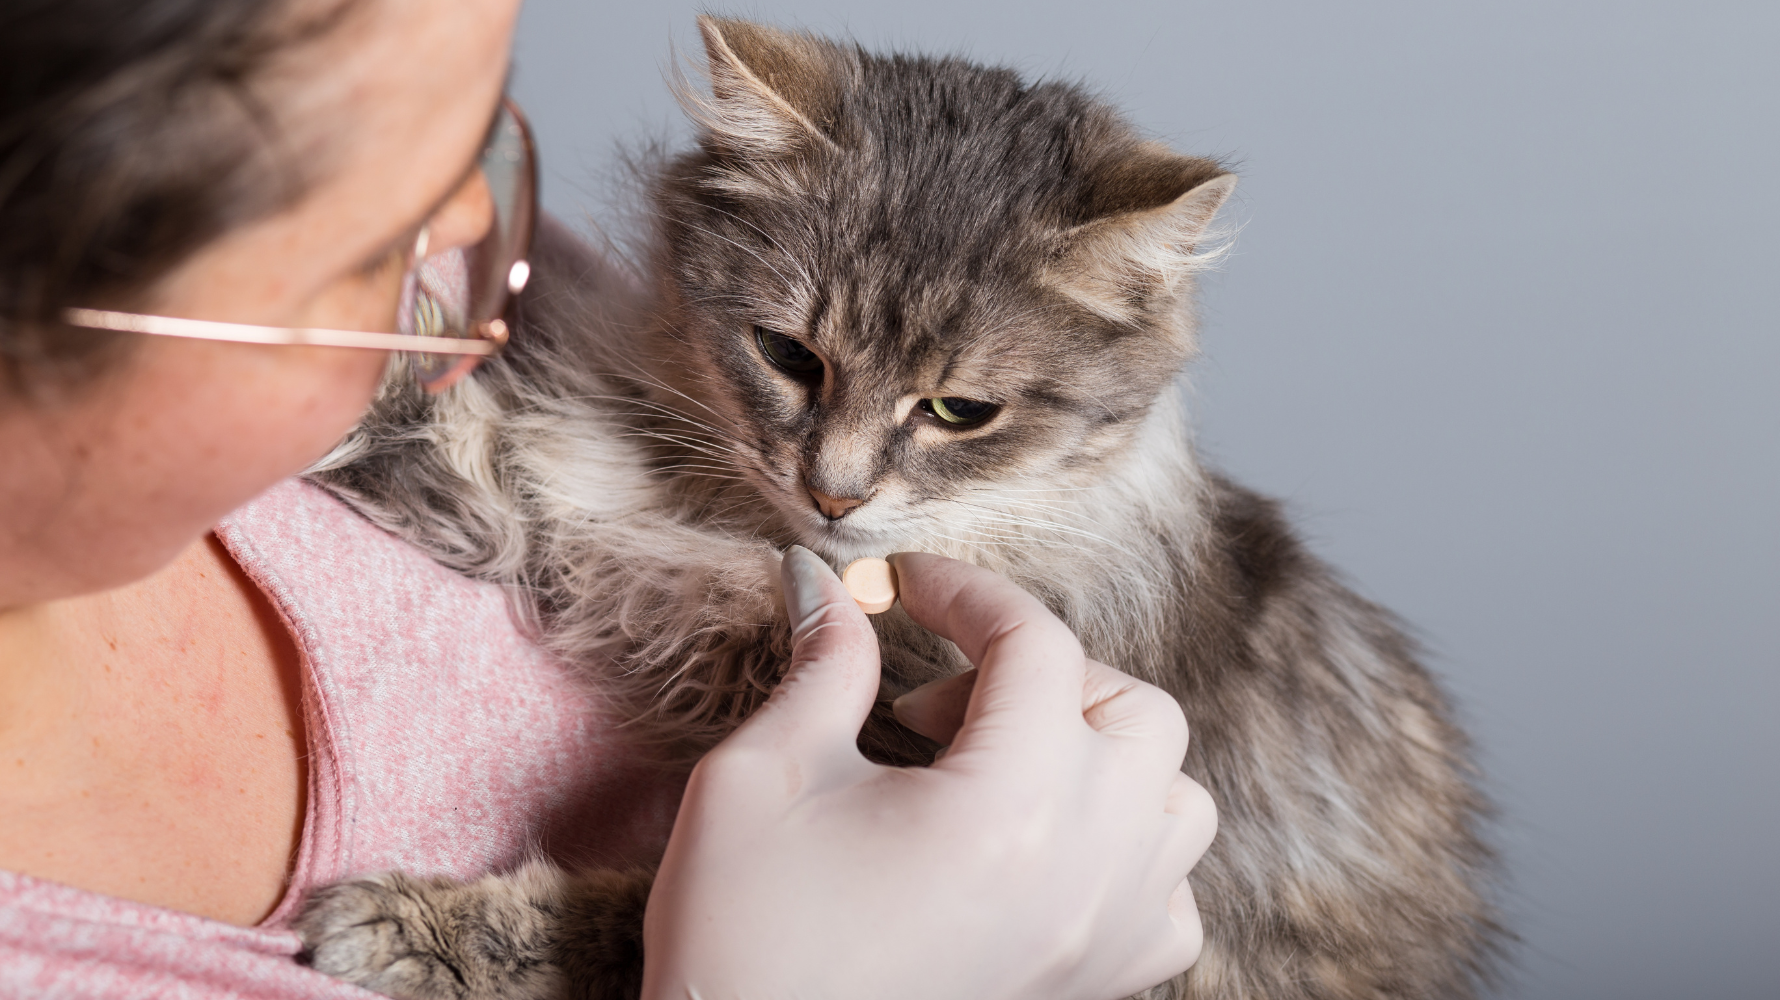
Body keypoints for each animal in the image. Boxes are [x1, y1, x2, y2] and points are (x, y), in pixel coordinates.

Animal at [295, 15, 1502, 996]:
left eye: (960, 411)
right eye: (789, 355)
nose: (833, 492)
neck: (750, 541)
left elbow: (631, 916)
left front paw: (417, 928)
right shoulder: (572, 513)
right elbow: (448, 442)